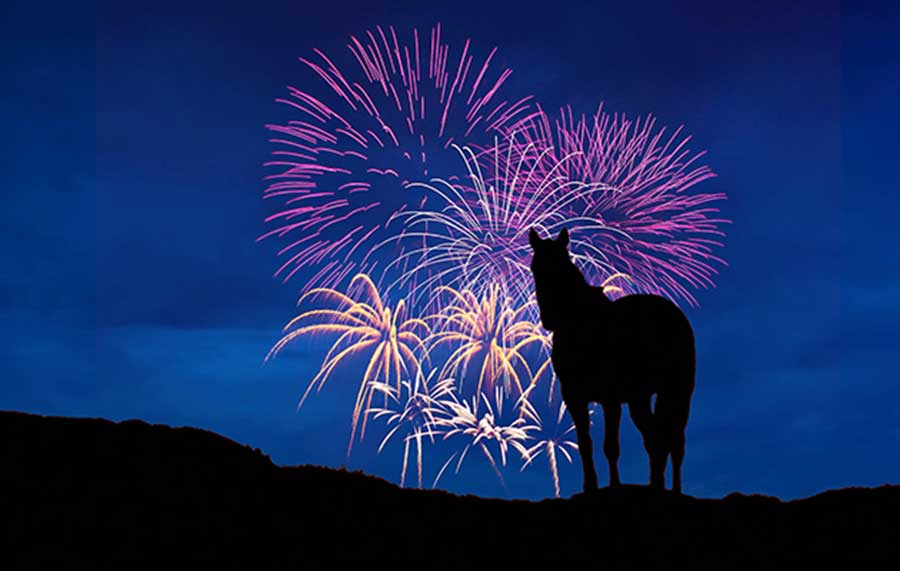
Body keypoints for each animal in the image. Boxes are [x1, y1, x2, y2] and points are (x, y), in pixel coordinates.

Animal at [529, 227, 696, 493]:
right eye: (535, 268)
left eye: (562, 265)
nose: (549, 319)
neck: (580, 324)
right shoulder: (573, 395)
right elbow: (585, 442)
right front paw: (590, 486)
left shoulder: (610, 399)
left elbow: (610, 446)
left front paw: (615, 484)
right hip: (640, 399)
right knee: (655, 437)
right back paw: (655, 484)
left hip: (678, 392)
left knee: (674, 441)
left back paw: (674, 489)